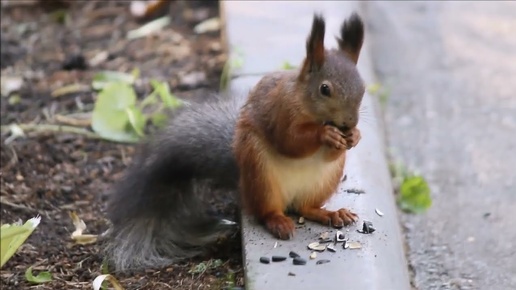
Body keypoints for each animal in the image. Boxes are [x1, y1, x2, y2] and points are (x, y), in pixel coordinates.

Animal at [104, 13, 362, 272]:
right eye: (324, 89)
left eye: (362, 87)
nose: (350, 123)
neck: (310, 110)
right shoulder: (280, 110)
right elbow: (289, 141)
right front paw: (325, 134)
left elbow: (331, 152)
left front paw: (355, 136)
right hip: (260, 173)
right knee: (266, 211)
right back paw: (278, 221)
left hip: (324, 180)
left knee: (305, 208)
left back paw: (331, 214)